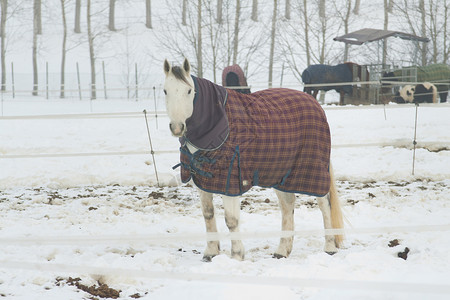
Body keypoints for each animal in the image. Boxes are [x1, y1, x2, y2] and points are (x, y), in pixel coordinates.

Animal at [165, 58, 344, 260]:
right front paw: (210, 252)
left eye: (189, 91)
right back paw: (282, 250)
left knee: (325, 204)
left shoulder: (230, 183)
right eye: (165, 91)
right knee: (288, 205)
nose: (177, 127)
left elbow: (231, 220)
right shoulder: (202, 181)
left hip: (314, 170)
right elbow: (208, 215)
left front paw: (236, 255)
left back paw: (329, 246)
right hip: (281, 174)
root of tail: (315, 104)